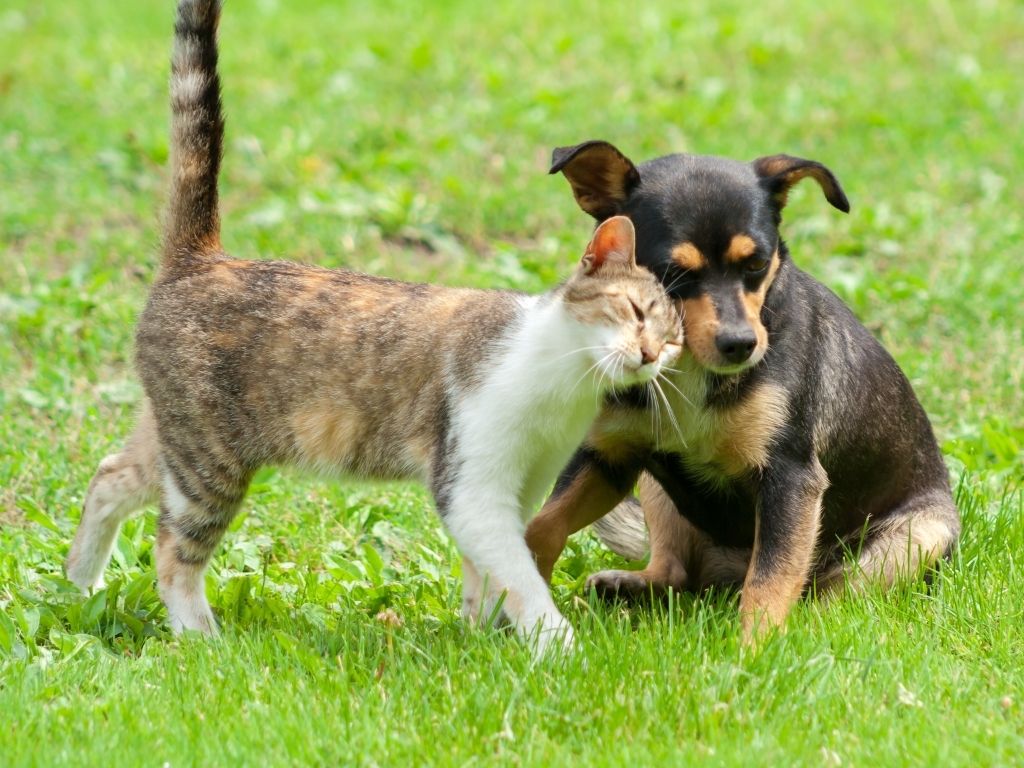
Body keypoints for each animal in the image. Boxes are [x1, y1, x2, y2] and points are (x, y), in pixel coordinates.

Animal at [68, 0, 684, 655]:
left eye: (674, 341)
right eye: (635, 311)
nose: (650, 353)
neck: (563, 384)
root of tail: (201, 257)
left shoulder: (521, 487)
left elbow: (488, 577)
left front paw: (482, 636)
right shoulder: (471, 489)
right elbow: (520, 575)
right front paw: (556, 645)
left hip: (176, 438)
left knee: (109, 474)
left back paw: (80, 585)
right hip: (210, 460)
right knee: (171, 552)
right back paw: (200, 637)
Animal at [524, 141, 962, 638]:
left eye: (757, 264)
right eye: (673, 273)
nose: (741, 344)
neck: (688, 366)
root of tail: (724, 573)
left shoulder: (791, 477)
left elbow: (770, 581)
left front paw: (755, 650)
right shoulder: (609, 458)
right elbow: (542, 526)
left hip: (915, 539)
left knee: (824, 593)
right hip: (658, 493)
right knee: (676, 573)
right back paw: (627, 585)